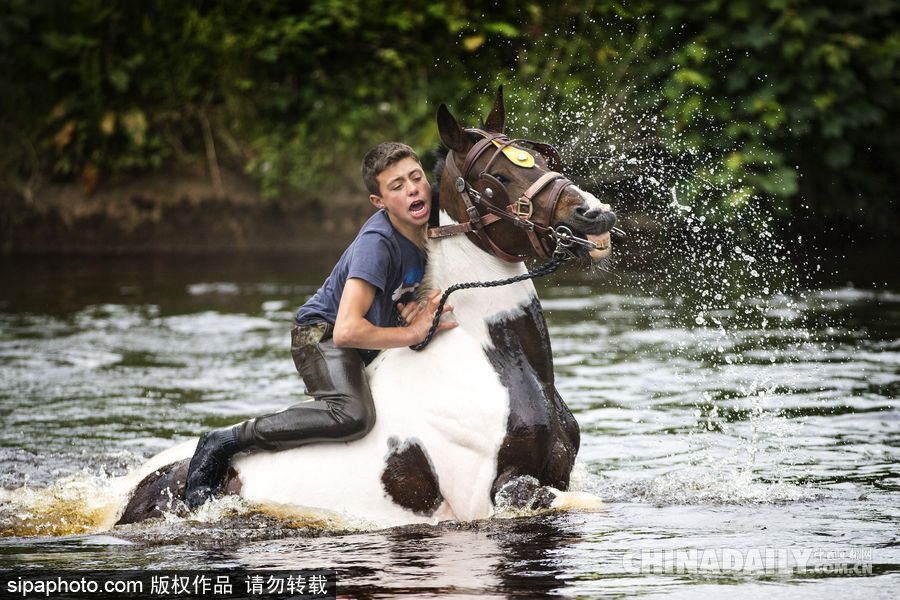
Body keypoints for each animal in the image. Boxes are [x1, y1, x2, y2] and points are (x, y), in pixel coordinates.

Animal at [114, 86, 612, 528]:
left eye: (543, 161)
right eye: (498, 179)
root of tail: (136, 491)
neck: (495, 359)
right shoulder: (494, 495)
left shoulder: (555, 474)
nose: (595, 214)